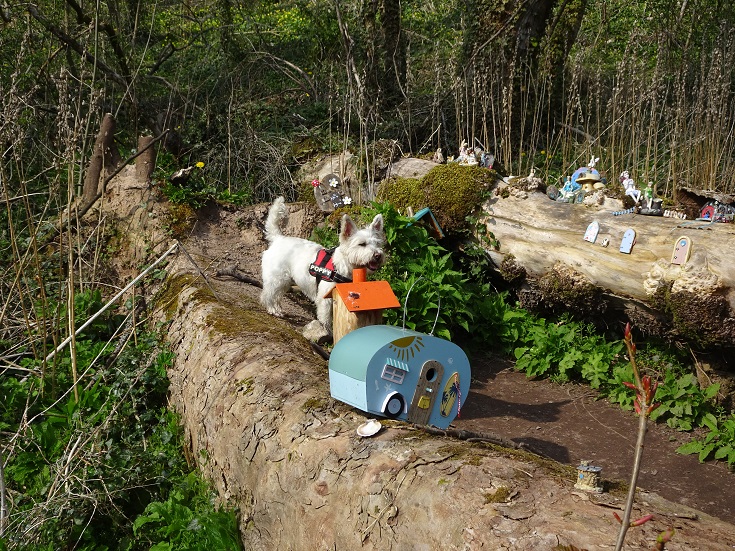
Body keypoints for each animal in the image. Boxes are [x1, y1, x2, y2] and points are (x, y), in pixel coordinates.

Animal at [260, 199, 386, 336]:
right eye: (362, 244)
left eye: (378, 244)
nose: (378, 255)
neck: (343, 266)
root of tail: (278, 239)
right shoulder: (325, 299)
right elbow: (325, 318)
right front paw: (326, 331)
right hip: (277, 278)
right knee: (268, 294)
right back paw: (272, 309)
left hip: (284, 281)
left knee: (277, 295)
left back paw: (278, 309)